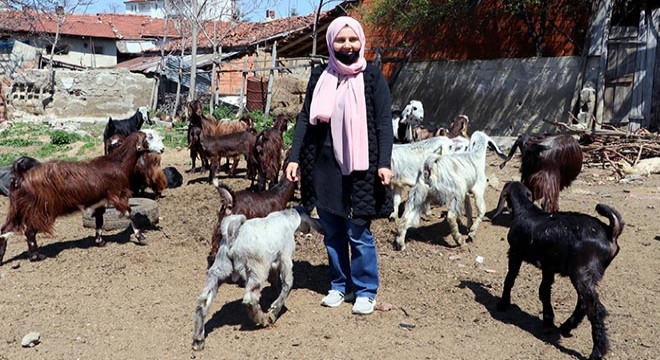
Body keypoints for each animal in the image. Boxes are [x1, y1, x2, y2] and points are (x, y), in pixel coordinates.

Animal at [0, 130, 165, 264]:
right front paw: (141, 237)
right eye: (149, 136)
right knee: (29, 231)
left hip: (19, 206)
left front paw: (99, 241)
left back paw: (3, 257)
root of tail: (20, 176)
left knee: (5, 229)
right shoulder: (117, 196)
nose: (162, 149)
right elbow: (130, 213)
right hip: (37, 208)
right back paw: (36, 256)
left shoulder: (100, 201)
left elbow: (99, 220)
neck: (117, 163)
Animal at [191, 207, 324, 350]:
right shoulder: (285, 256)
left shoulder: (273, 263)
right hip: (256, 271)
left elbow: (275, 280)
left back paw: (198, 339)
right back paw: (263, 319)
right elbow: (288, 283)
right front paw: (274, 310)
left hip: (220, 268)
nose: (320, 226)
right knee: (250, 299)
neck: (286, 219)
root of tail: (233, 236)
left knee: (203, 301)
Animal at [496, 181, 624, 360]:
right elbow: (544, 290)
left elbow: (510, 278)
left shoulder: (515, 253)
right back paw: (566, 327)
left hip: (580, 272)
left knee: (595, 309)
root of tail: (610, 232)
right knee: (583, 303)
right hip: (588, 274)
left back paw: (596, 351)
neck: (526, 211)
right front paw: (548, 321)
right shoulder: (548, 265)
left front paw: (503, 303)